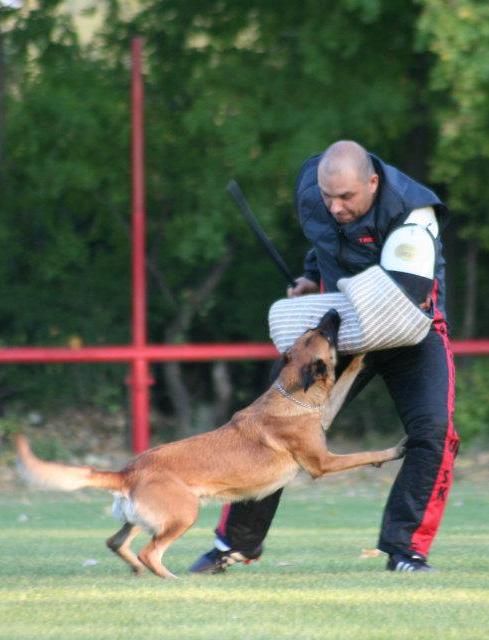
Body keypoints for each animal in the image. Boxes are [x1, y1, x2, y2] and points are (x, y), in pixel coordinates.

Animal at [16, 309, 406, 579]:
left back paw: (138, 572)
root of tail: (128, 471)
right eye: (324, 332)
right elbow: (365, 454)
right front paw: (395, 450)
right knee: (149, 552)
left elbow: (347, 378)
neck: (293, 394)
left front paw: (363, 356)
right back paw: (171, 579)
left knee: (117, 542)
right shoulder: (322, 463)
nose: (334, 312)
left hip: (142, 518)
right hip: (184, 513)